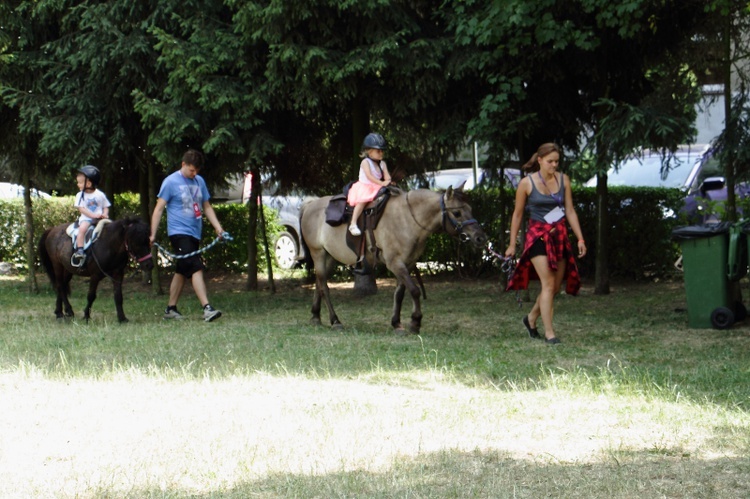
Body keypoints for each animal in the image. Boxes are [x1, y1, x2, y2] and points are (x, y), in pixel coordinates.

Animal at [302, 186, 490, 334]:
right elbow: (414, 290)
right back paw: (335, 321)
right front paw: (415, 322)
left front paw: (397, 323)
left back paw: (315, 316)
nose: (481, 238)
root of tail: (311, 204)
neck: (408, 219)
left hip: (329, 257)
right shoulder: (395, 264)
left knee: (319, 283)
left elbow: (400, 293)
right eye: (457, 212)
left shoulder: (407, 263)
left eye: (470, 209)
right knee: (324, 287)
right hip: (318, 253)